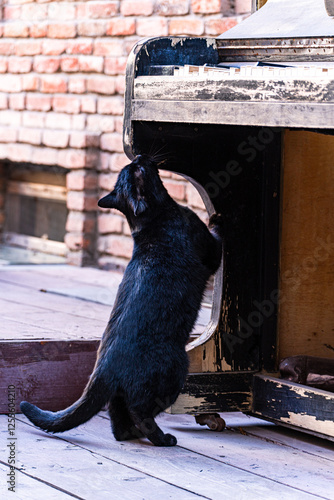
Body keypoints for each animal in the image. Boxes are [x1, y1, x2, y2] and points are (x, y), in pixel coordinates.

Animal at [20, 154, 224, 448]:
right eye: (137, 169)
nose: (138, 156)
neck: (152, 222)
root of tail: (104, 369)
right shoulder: (210, 251)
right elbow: (218, 236)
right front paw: (218, 216)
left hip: (125, 391)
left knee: (118, 415)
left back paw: (131, 434)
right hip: (176, 369)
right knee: (140, 410)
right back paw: (162, 438)